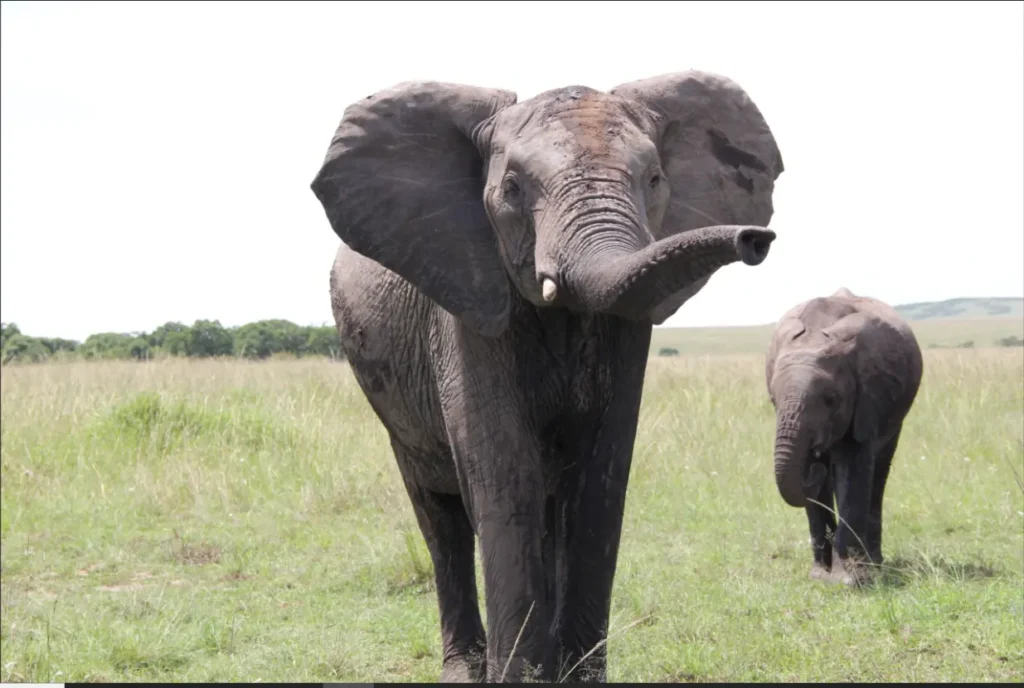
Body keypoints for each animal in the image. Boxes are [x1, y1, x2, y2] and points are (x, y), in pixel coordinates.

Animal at [310, 71, 784, 682]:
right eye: (512, 188)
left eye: (655, 179)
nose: (755, 240)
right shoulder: (466, 306)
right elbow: (507, 477)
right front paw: (521, 679)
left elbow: (600, 481)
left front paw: (576, 679)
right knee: (440, 519)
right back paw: (466, 669)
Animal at [765, 288, 923, 587]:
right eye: (773, 400)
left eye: (830, 399)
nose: (815, 461)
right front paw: (819, 576)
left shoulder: (867, 398)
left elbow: (852, 472)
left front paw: (848, 580)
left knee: (878, 472)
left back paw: (873, 564)